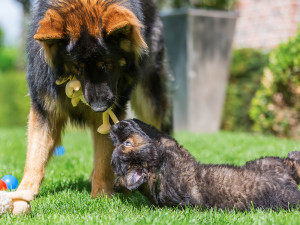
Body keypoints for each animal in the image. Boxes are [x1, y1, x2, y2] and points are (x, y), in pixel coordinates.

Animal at [15, 0, 171, 214]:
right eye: (77, 66)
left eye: (106, 64)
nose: (98, 108)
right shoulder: (44, 107)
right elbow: (35, 154)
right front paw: (23, 192)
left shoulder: (112, 113)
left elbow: (104, 156)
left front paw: (101, 196)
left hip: (150, 99)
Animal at [110, 119, 300, 211]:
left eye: (125, 143)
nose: (114, 127)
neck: (158, 175)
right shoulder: (174, 151)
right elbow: (160, 136)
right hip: (270, 163)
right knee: (292, 163)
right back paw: (294, 153)